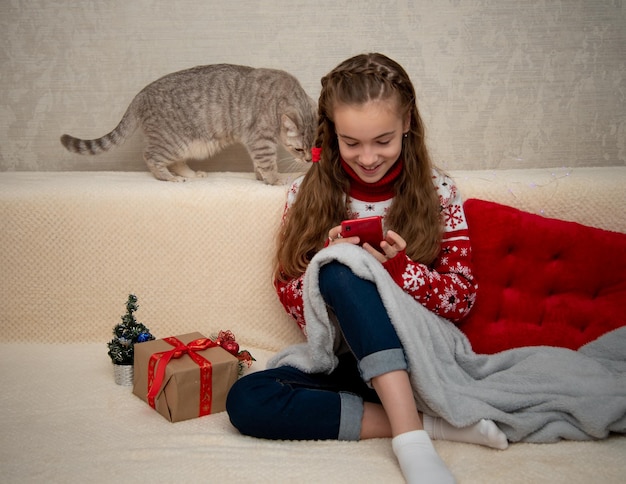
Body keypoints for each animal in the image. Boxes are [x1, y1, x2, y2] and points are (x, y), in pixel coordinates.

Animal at [61, 63, 316, 183]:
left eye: (316, 148)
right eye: (299, 149)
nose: (307, 160)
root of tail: (140, 95)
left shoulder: (257, 143)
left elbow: (259, 165)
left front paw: (261, 177)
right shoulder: (261, 140)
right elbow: (267, 163)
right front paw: (275, 179)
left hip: (186, 146)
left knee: (176, 162)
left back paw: (191, 174)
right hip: (172, 142)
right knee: (151, 157)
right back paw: (170, 178)